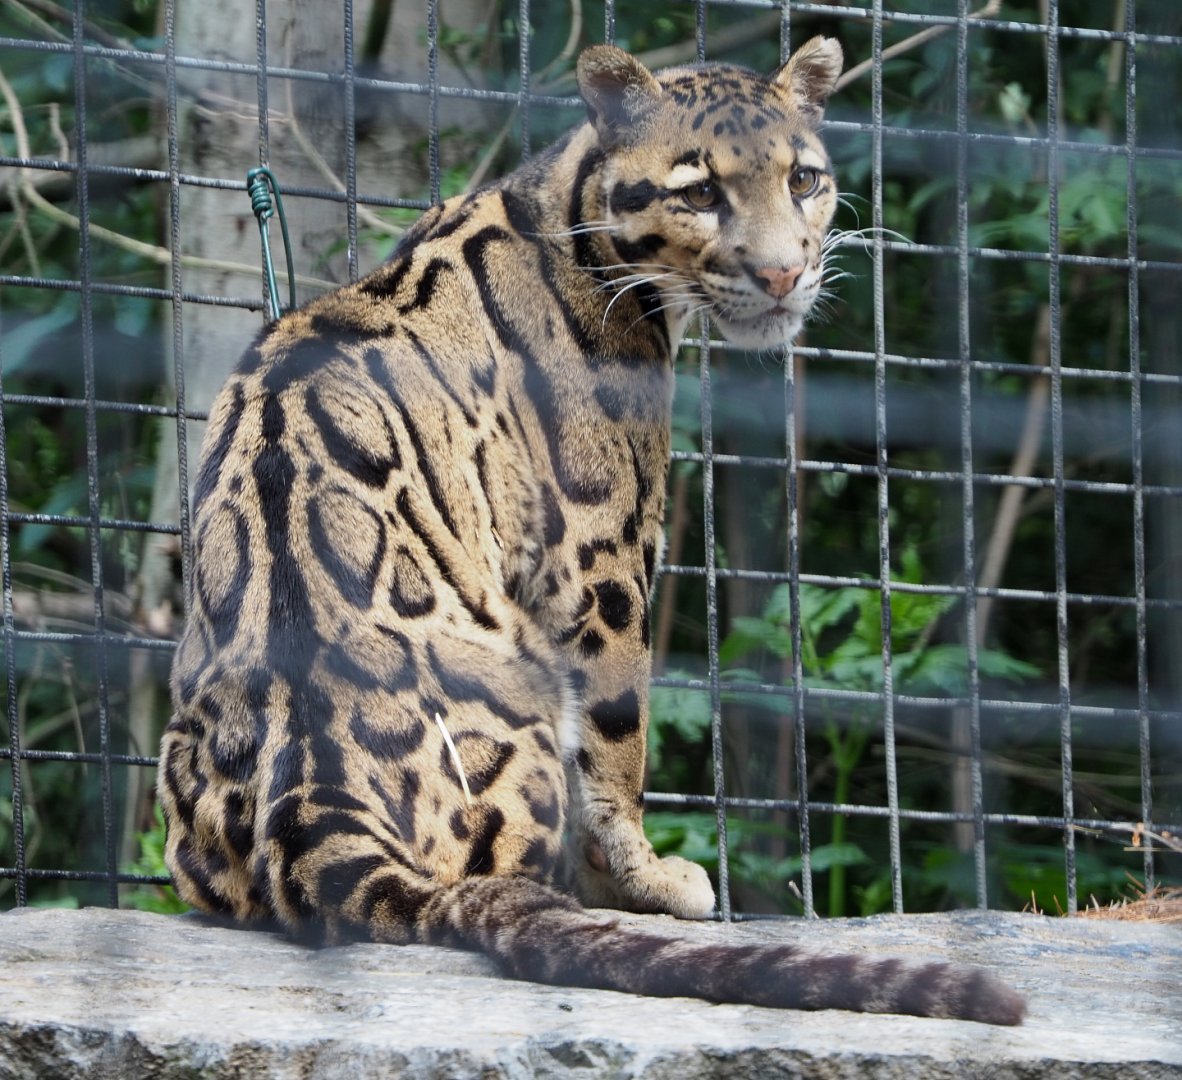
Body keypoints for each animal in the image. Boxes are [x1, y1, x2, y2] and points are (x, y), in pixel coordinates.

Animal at [158, 36, 1026, 1025]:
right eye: (700, 191)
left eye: (803, 179)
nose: (781, 273)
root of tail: (310, 809)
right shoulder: (603, 554)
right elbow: (619, 743)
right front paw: (648, 879)